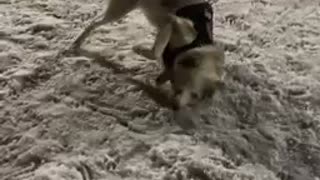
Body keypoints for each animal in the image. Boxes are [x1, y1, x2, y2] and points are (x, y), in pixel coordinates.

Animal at [67, 0, 225, 109]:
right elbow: (156, 51)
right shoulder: (174, 26)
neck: (196, 46)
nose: (175, 108)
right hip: (118, 11)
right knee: (93, 23)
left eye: (195, 96)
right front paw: (138, 49)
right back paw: (76, 42)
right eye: (179, 89)